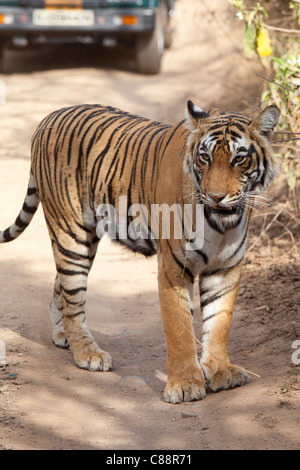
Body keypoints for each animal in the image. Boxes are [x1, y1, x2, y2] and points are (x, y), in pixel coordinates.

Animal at [1, 103, 280, 404]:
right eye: (204, 158)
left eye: (239, 159)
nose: (215, 197)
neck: (221, 225)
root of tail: (50, 116)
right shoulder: (173, 268)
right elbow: (179, 329)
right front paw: (184, 385)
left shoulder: (225, 268)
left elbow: (218, 323)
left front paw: (221, 371)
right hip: (71, 233)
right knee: (73, 297)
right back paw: (88, 353)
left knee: (60, 286)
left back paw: (62, 334)